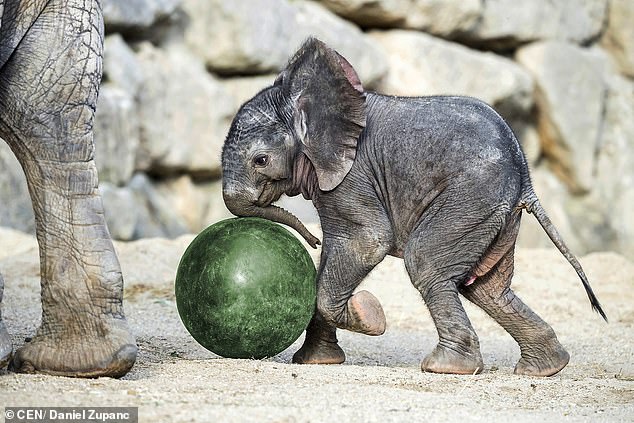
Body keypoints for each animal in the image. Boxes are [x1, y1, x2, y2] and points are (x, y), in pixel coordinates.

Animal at [220, 38, 604, 376]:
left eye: (260, 160)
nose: (308, 240)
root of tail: (525, 176)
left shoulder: (353, 176)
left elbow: (367, 241)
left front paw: (370, 313)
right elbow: (333, 253)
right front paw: (317, 361)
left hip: (470, 197)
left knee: (428, 263)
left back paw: (447, 368)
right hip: (496, 214)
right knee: (487, 288)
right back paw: (545, 367)